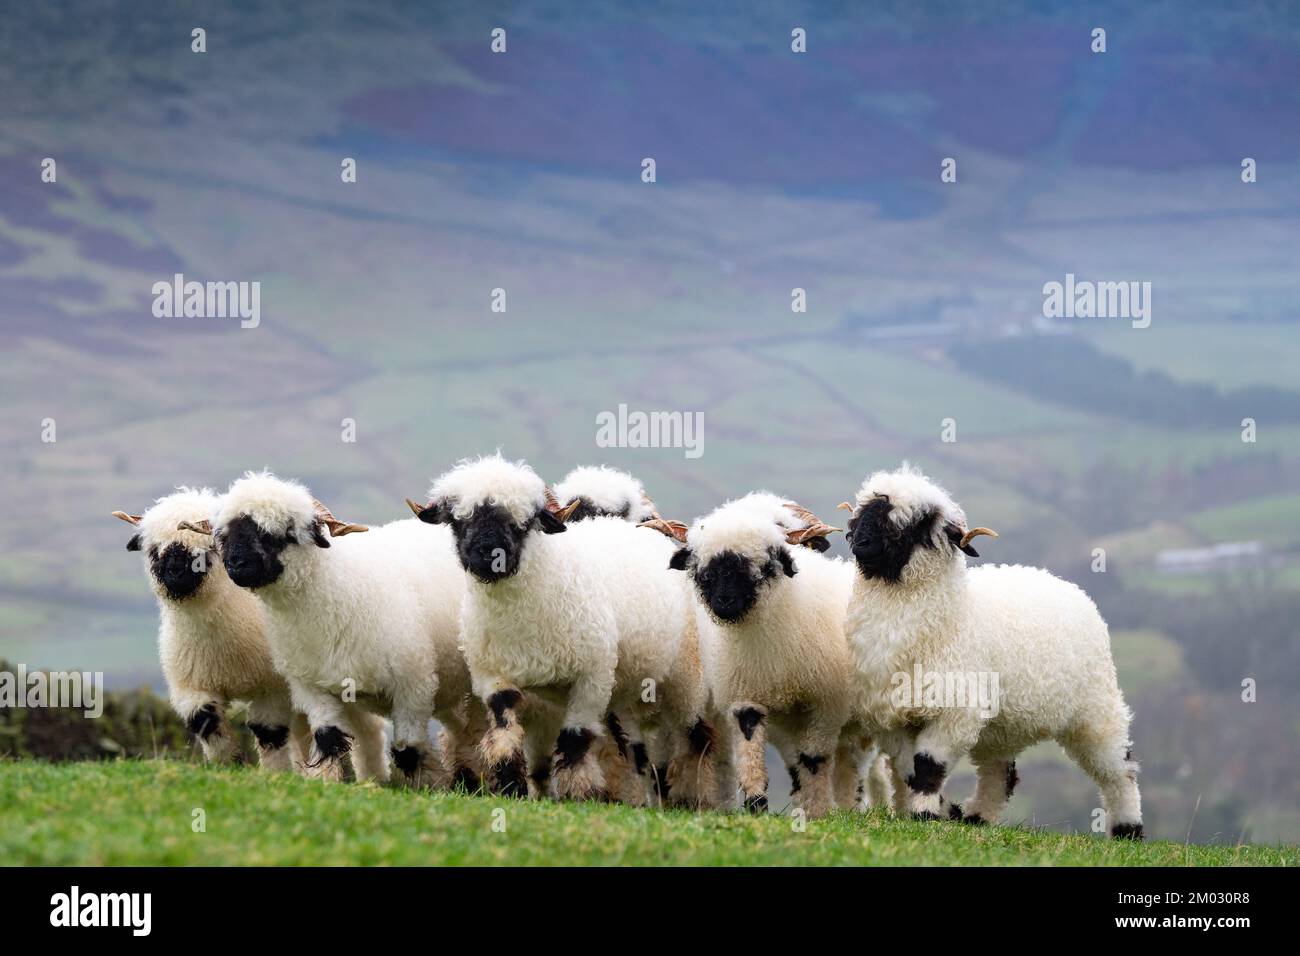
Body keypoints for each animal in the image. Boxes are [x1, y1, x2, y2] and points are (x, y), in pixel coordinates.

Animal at [192, 473, 478, 790]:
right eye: (225, 535)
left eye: (278, 533)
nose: (235, 564)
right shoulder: (312, 686)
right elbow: (327, 738)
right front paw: (327, 780)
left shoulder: (413, 685)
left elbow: (408, 748)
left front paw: (426, 786)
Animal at [416, 460, 717, 806]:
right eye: (457, 520)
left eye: (525, 522)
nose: (489, 555)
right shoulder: (493, 676)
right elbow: (505, 731)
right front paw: (512, 787)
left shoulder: (592, 679)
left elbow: (575, 741)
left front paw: (578, 794)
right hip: (625, 691)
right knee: (633, 748)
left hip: (686, 675)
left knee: (696, 736)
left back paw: (693, 797)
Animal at [670, 494, 883, 816]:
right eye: (703, 568)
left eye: (766, 560)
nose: (724, 601)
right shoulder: (746, 695)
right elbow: (751, 749)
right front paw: (756, 803)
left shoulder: (825, 705)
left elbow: (814, 760)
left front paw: (818, 811)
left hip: (856, 724)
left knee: (850, 765)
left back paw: (847, 807)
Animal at [837, 468, 1144, 842]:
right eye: (863, 511)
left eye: (919, 522)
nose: (861, 543)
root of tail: (1068, 587)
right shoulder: (890, 718)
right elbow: (910, 770)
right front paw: (933, 811)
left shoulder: (956, 712)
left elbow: (928, 765)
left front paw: (924, 815)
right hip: (1001, 727)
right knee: (1001, 773)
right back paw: (978, 817)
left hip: (1095, 707)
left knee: (1119, 769)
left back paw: (1129, 829)